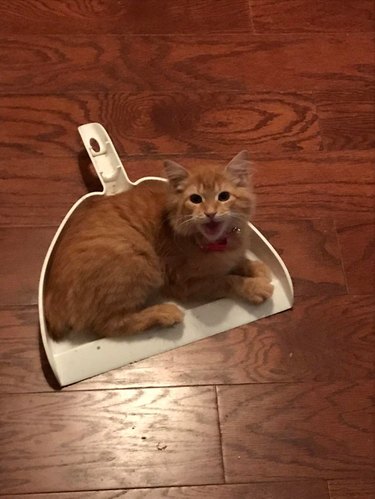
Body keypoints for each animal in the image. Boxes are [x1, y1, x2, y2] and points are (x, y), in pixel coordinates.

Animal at [44, 151, 274, 340]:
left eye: (223, 196)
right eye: (195, 199)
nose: (210, 213)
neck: (212, 242)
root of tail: (52, 301)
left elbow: (237, 261)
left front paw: (256, 268)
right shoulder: (186, 284)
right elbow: (226, 280)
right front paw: (254, 286)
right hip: (139, 261)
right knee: (110, 325)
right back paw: (164, 313)